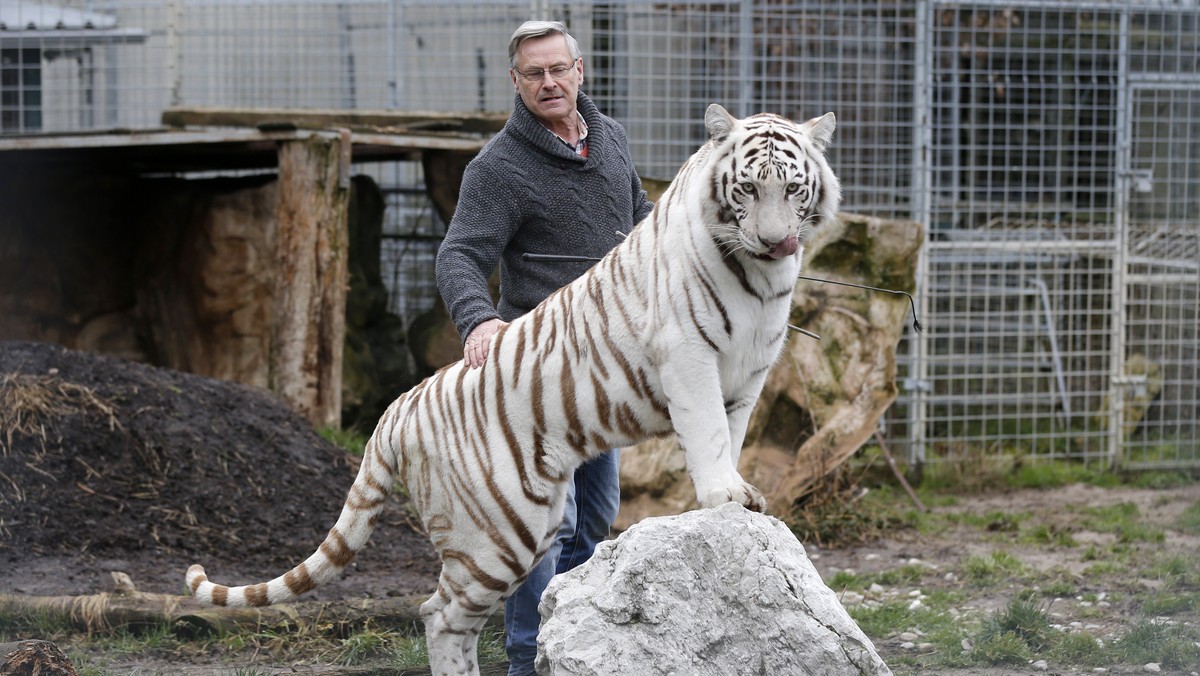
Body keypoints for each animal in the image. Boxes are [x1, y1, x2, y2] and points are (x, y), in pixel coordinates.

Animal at [185, 103, 840, 676]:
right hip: (498, 533)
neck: (760, 278)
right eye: (748, 189)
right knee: (441, 614)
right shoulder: (688, 354)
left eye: (793, 190)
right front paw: (724, 497)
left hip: (532, 520)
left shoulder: (749, 373)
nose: (778, 242)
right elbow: (706, 433)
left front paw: (738, 496)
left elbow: (731, 433)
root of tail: (396, 409)